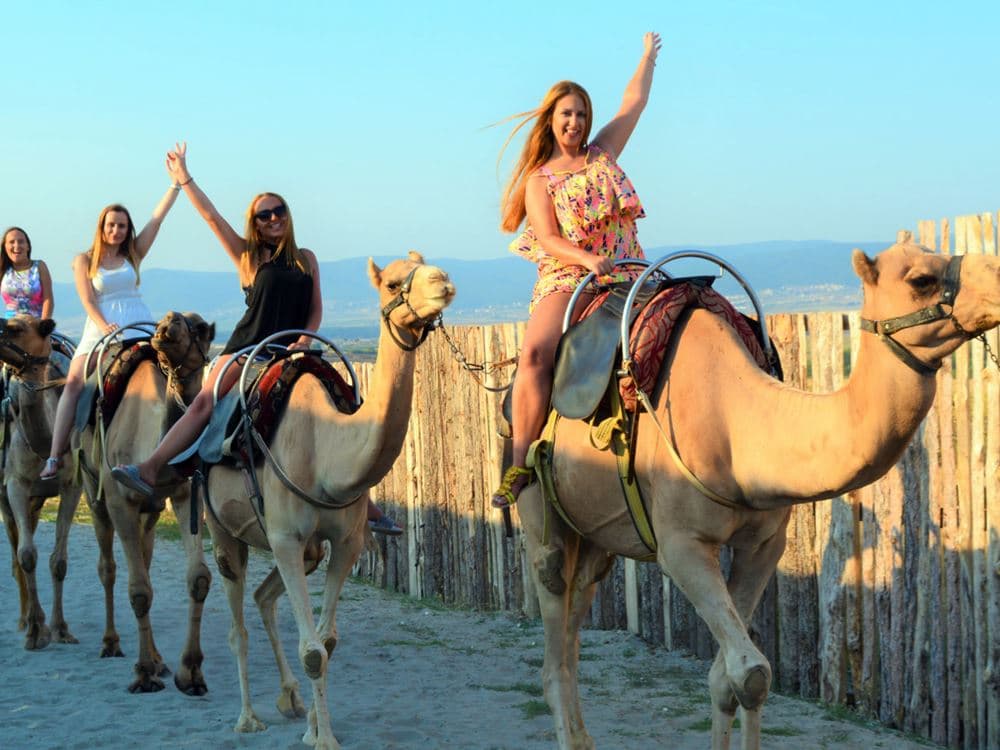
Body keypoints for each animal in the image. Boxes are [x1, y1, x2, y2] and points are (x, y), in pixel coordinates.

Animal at [72, 311, 215, 693]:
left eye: (200, 328)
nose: (168, 323)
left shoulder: (184, 493)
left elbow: (198, 577)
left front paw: (190, 672)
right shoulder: (118, 500)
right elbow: (137, 590)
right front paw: (143, 673)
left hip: (149, 512)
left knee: (145, 562)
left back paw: (159, 658)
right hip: (93, 493)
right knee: (108, 568)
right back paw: (112, 643)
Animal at [202, 251, 454, 749]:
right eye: (392, 282)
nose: (443, 282)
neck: (327, 454)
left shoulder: (345, 542)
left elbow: (328, 642)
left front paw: (314, 730)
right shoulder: (284, 538)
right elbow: (313, 650)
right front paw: (324, 740)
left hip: (308, 551)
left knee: (263, 598)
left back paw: (290, 700)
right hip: (224, 531)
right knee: (237, 625)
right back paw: (247, 718)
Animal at [515, 237, 1000, 750]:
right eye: (921, 279)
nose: (997, 279)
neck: (737, 424)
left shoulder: (764, 544)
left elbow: (732, 679)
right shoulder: (681, 545)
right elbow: (751, 672)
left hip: (593, 537)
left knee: (576, 616)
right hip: (543, 514)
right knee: (552, 612)